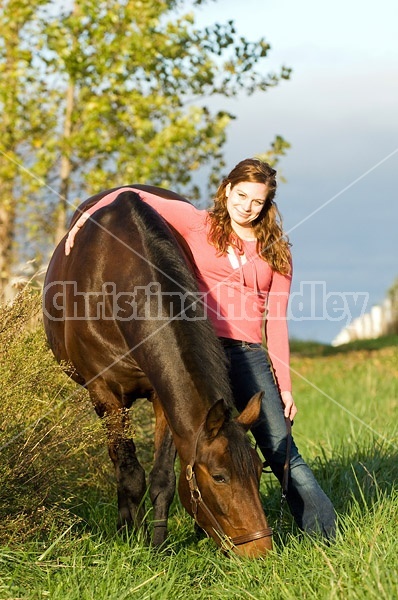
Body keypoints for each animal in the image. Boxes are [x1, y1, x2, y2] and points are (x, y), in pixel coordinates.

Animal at [43, 186, 274, 556]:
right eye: (220, 476)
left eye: (257, 470)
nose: (261, 551)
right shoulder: (106, 396)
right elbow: (129, 474)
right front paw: (128, 537)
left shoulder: (162, 396)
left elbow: (163, 477)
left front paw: (157, 545)